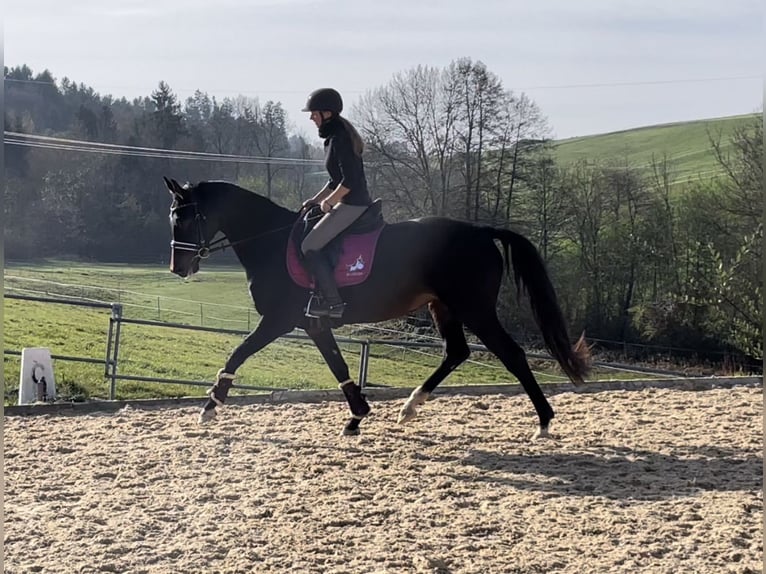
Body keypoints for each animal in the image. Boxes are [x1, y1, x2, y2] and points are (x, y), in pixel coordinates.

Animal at [165, 180, 592, 440]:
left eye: (183, 217)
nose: (178, 268)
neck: (271, 242)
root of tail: (481, 231)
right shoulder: (313, 323)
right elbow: (337, 364)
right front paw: (356, 415)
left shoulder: (279, 320)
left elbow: (238, 353)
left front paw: (210, 407)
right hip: (443, 307)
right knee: (457, 352)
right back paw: (410, 407)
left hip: (475, 309)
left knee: (512, 355)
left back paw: (544, 422)